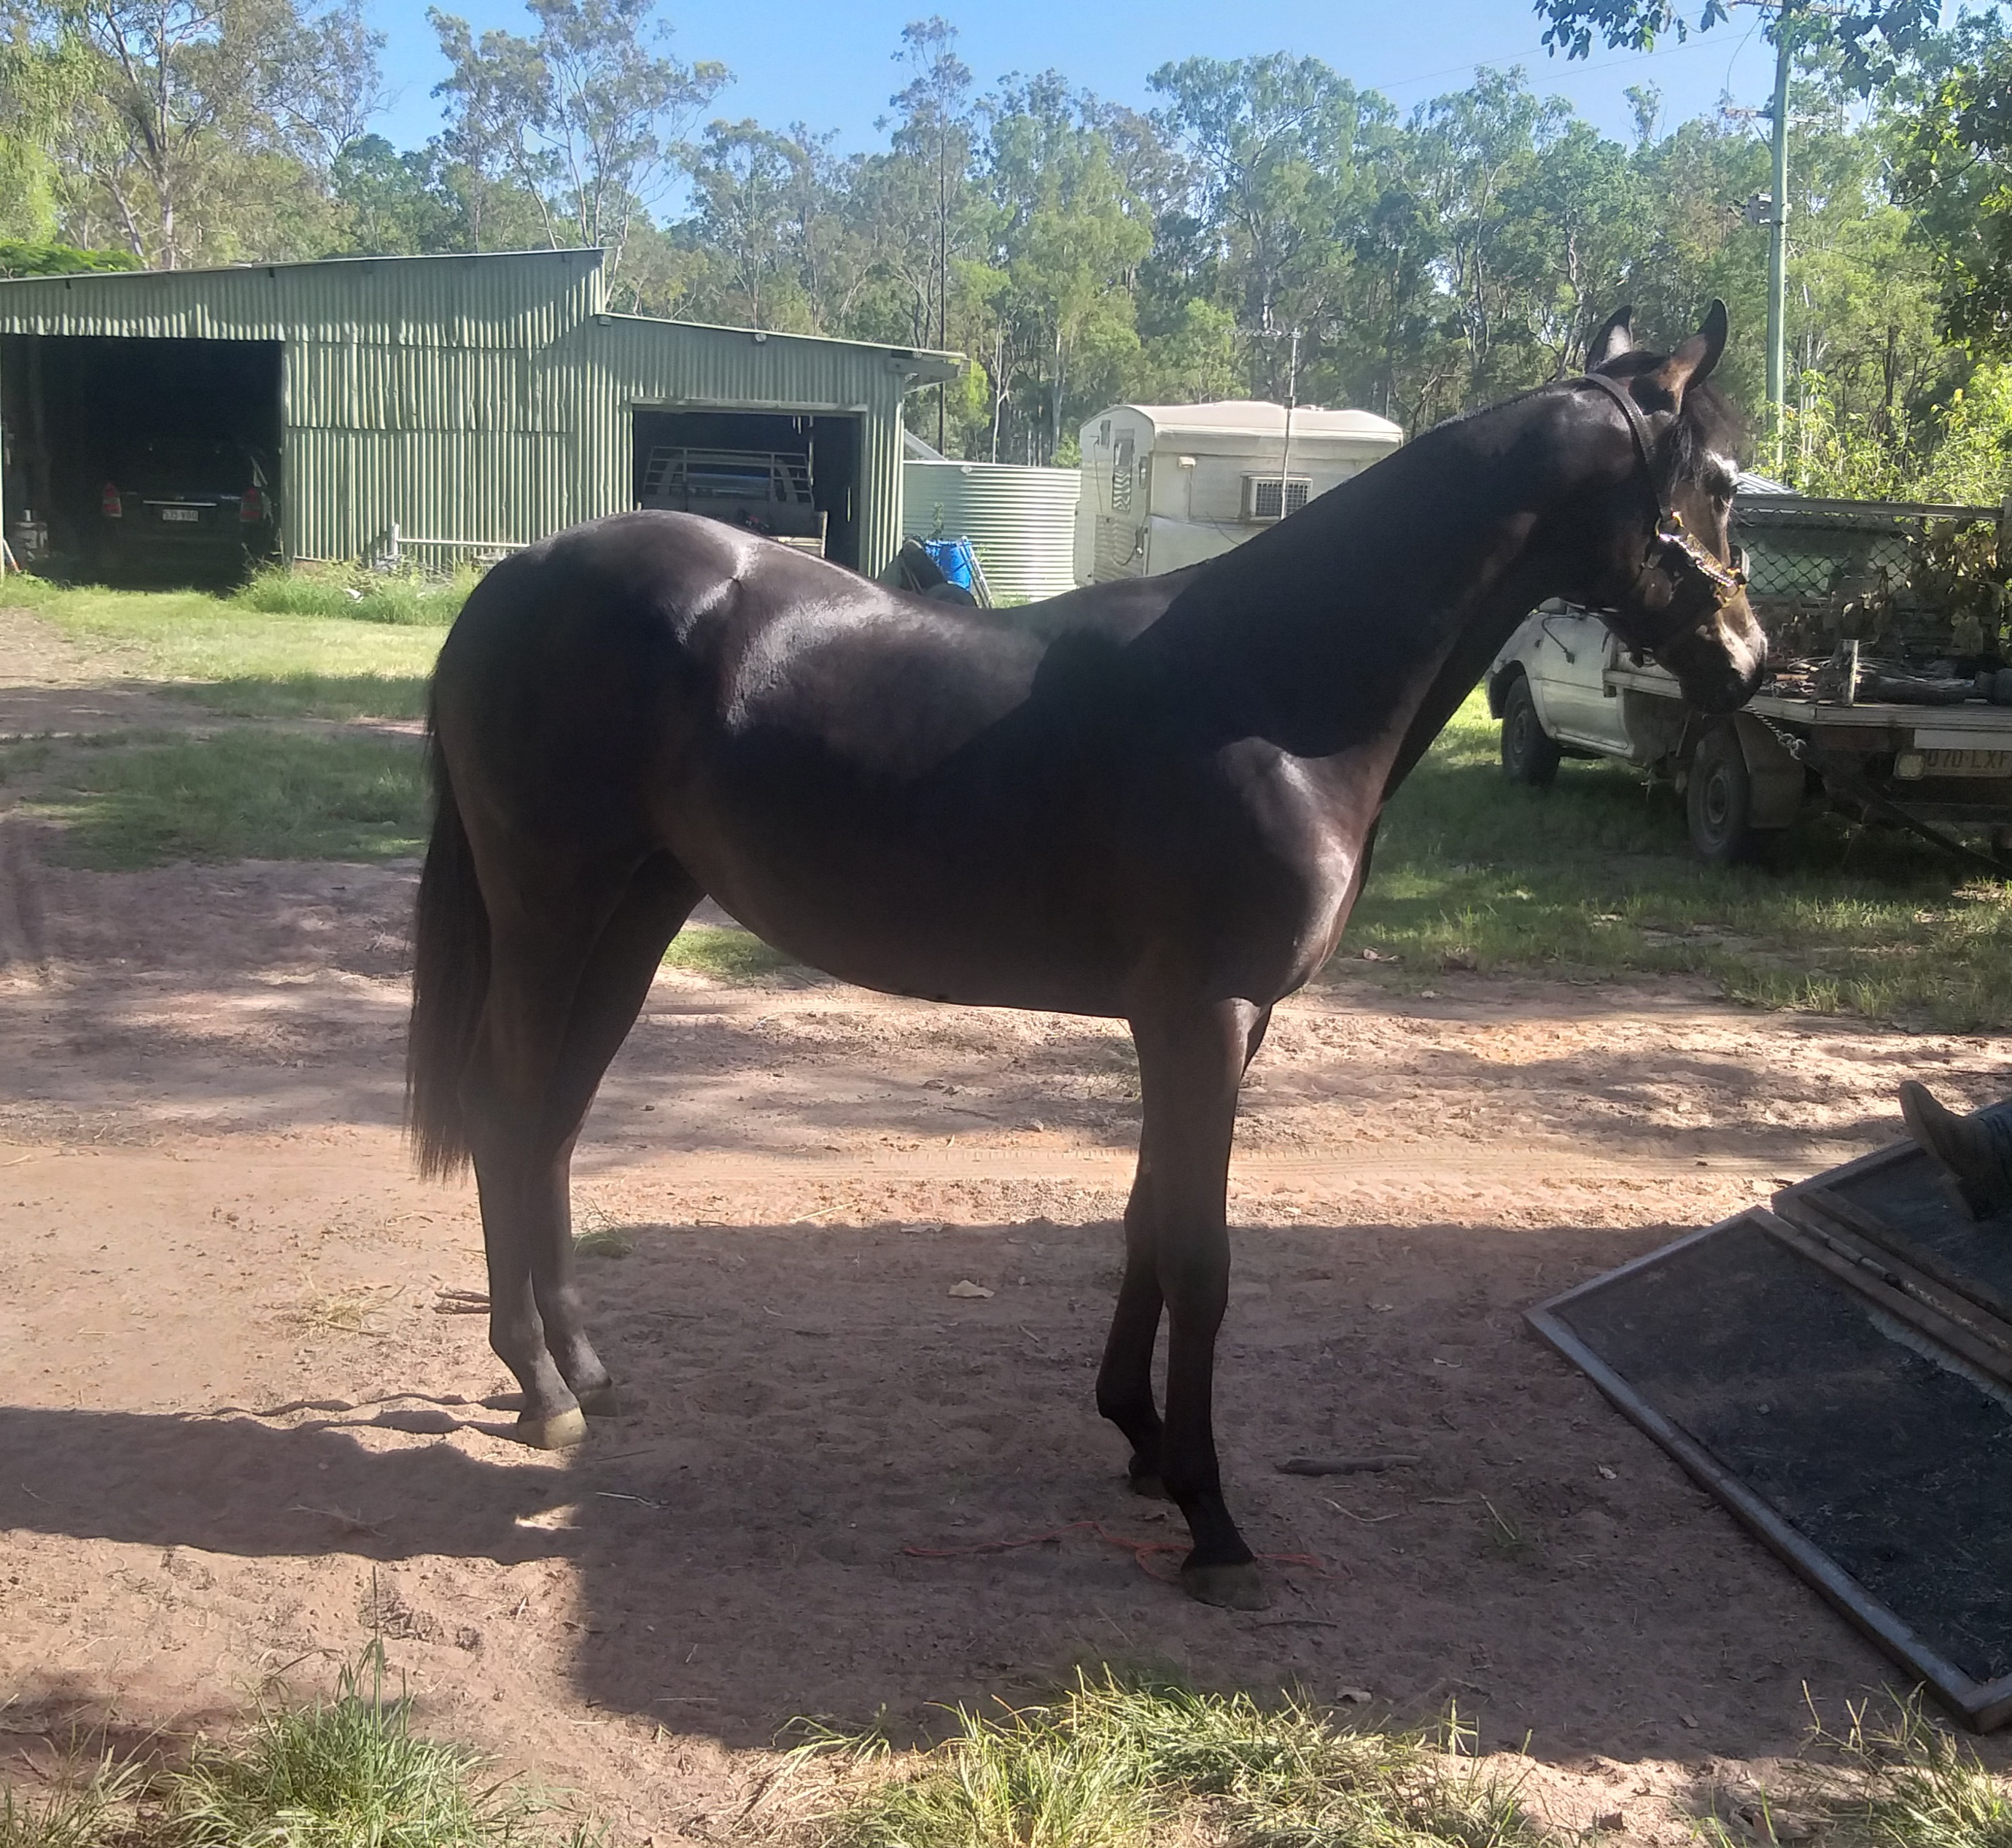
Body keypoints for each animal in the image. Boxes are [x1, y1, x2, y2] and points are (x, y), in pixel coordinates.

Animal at [406, 302, 1763, 1611]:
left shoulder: (1208, 1022)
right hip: (551, 907)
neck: (1269, 690)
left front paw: (1141, 1439)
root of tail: (516, 575)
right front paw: (1213, 1524)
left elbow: (1144, 1219)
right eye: (1715, 481)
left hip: (633, 912)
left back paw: (582, 1366)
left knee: (554, 1121)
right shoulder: (1204, 1012)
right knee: (508, 1109)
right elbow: (1200, 1257)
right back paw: (539, 1386)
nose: (1747, 665)